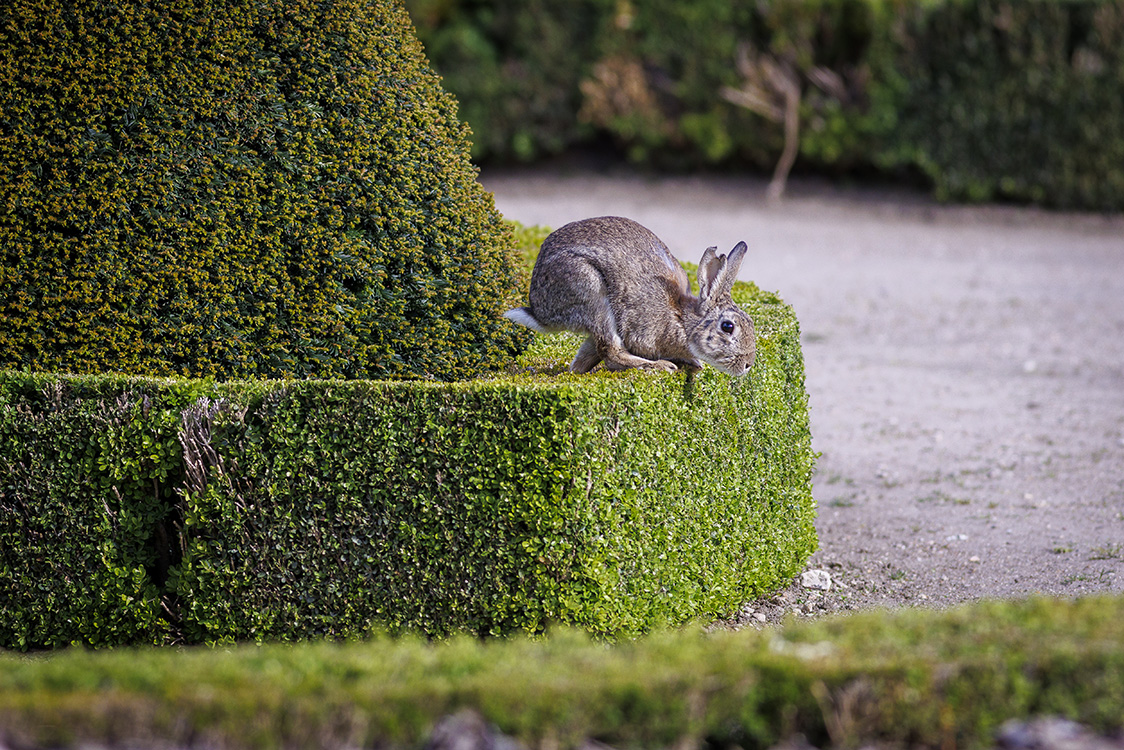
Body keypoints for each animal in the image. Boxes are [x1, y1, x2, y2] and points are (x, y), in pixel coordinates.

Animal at [504, 216, 755, 376]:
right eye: (728, 327)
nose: (748, 364)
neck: (683, 320)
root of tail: (540, 310)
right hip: (591, 291)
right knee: (611, 352)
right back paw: (660, 366)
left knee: (586, 359)